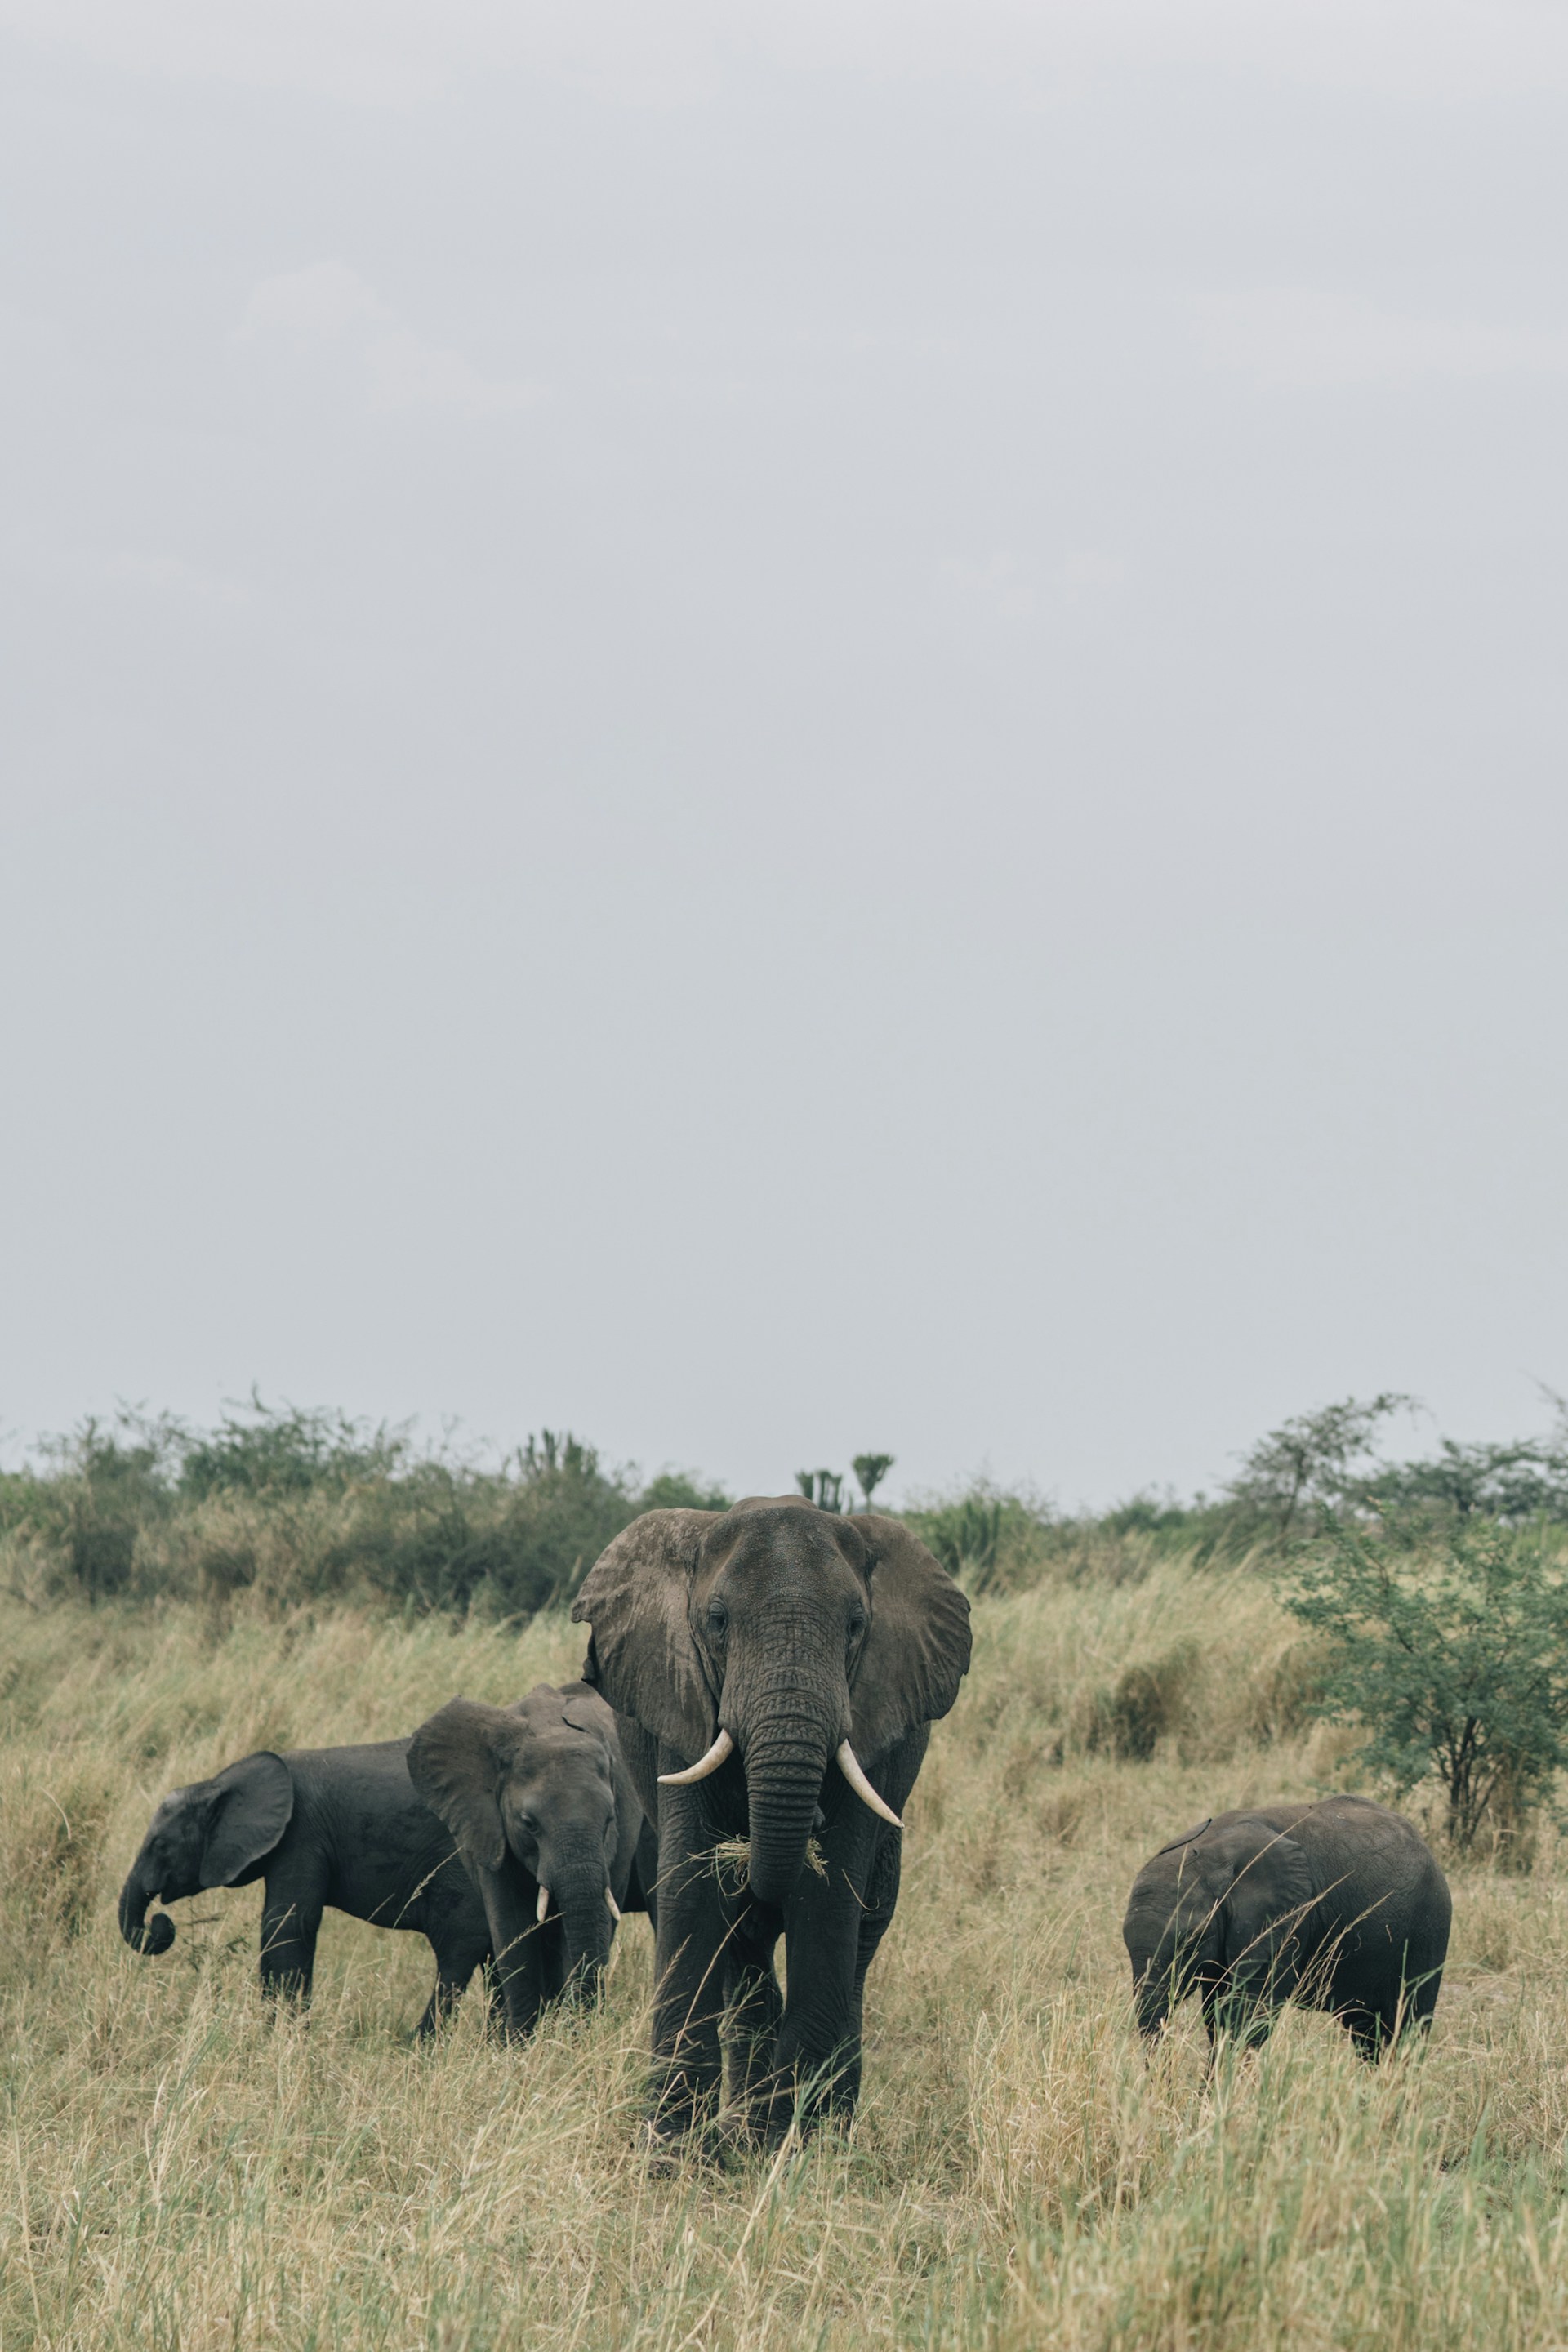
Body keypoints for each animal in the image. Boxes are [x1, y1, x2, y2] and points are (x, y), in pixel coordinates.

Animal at [119, 1736, 495, 2033]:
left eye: (161, 1846)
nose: (160, 1924)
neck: (218, 1782)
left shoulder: (301, 1836)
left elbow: (288, 1924)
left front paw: (281, 2038)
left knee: (457, 1949)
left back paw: (420, 2044)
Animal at [407, 1680, 654, 2036]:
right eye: (528, 1823)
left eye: (610, 1819)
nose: (588, 2027)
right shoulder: (488, 1825)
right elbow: (511, 1926)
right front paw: (521, 2040)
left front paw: (568, 2037)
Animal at [570, 1495, 972, 2148]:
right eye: (717, 1621)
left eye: (856, 1626)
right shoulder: (681, 1707)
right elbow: (693, 1893)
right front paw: (674, 2154)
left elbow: (827, 1901)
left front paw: (789, 2150)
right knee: (745, 1953)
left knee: (858, 1945)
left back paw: (815, 2127)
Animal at [1123, 1795, 1452, 2061]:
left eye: (1191, 1941)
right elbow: (1218, 2016)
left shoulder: (1286, 1919)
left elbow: (1248, 2015)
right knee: (1366, 2033)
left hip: (1429, 1925)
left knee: (1406, 2026)